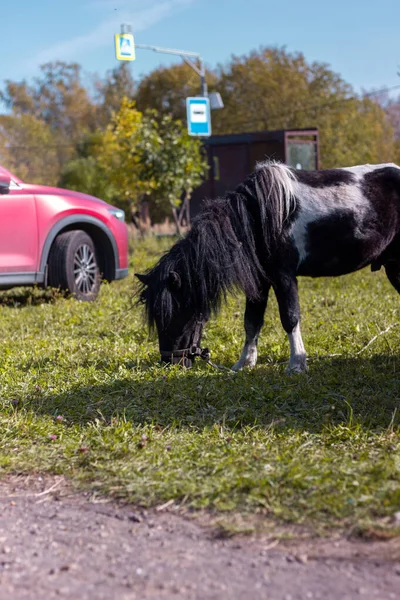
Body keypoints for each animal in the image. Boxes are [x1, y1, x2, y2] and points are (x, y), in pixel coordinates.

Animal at [136, 162, 400, 372]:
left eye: (175, 313)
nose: (171, 362)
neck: (258, 218)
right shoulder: (259, 282)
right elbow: (251, 321)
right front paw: (244, 364)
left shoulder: (283, 277)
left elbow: (290, 318)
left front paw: (297, 364)